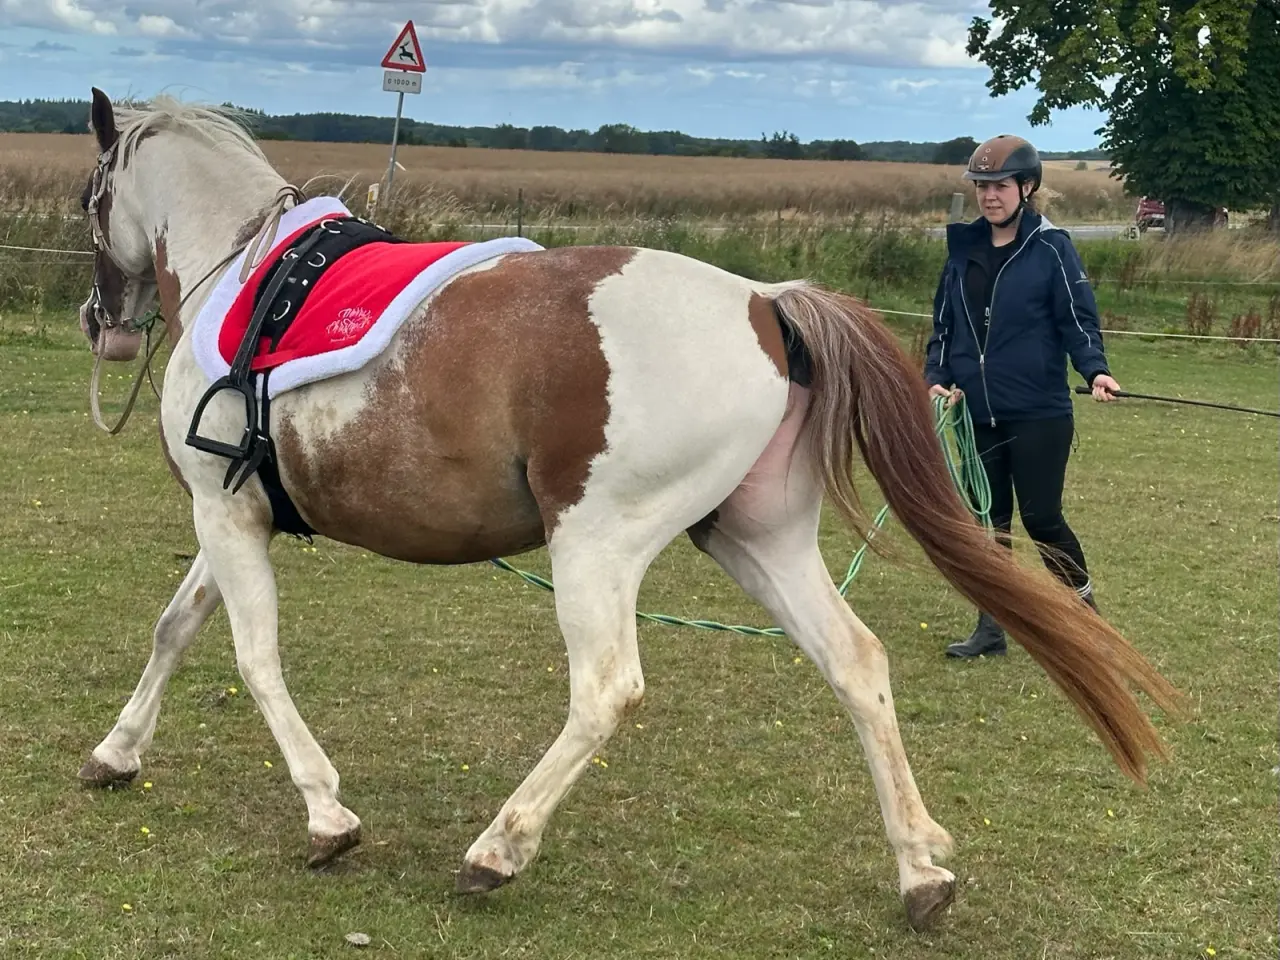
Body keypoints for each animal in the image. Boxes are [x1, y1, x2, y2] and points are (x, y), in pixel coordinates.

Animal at [70, 87, 1182, 933]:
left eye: (92, 195)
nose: (101, 321)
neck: (244, 277)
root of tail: (762, 302)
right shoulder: (230, 516)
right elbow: (175, 627)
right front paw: (116, 754)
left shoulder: (227, 518)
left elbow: (253, 658)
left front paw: (325, 815)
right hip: (757, 540)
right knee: (854, 663)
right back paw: (919, 869)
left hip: (596, 549)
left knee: (606, 690)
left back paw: (499, 849)